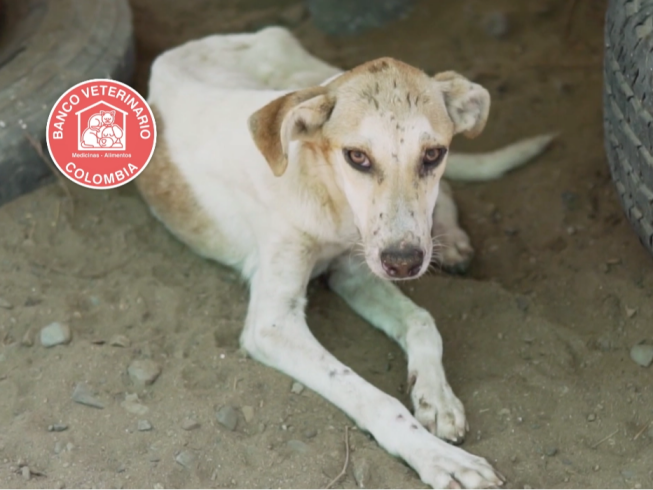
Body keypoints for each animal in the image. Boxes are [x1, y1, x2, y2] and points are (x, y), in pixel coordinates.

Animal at [136, 27, 552, 490]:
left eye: (432, 154)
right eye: (357, 156)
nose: (404, 262)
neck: (329, 199)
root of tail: (225, 37)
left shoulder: (358, 267)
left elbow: (423, 321)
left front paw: (437, 397)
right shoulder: (274, 323)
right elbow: (372, 395)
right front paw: (440, 458)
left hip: (312, 72)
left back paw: (454, 237)